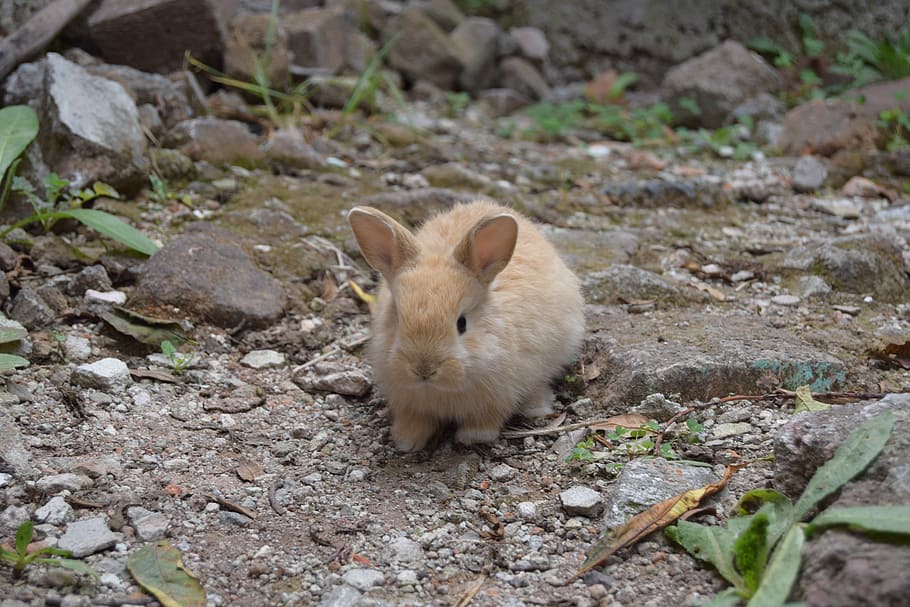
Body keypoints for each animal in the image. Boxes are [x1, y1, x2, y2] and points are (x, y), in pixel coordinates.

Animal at [346, 202, 588, 454]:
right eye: (398, 319)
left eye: (461, 323)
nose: (424, 369)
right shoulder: (409, 404)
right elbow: (414, 421)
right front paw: (406, 441)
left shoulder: (498, 398)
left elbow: (487, 419)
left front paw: (474, 437)